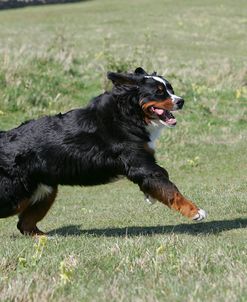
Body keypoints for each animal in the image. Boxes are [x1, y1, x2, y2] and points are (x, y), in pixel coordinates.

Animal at [0, 67, 206, 235]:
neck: (127, 115)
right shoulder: (140, 163)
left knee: (25, 224)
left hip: (45, 191)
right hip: (14, 195)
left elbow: (162, 180)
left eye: (170, 89)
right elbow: (171, 189)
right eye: (159, 92)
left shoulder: (144, 161)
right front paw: (195, 211)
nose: (181, 101)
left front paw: (150, 196)